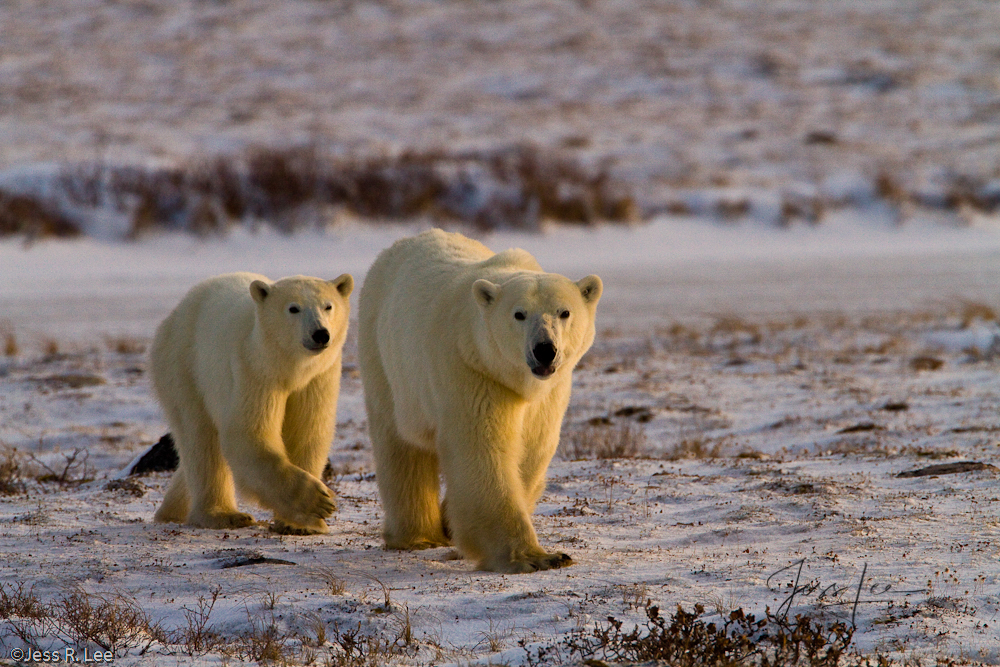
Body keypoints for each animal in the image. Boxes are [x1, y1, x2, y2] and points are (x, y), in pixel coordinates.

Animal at [148, 268, 352, 536]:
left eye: (328, 306)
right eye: (293, 308)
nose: (320, 334)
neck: (289, 367)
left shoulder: (319, 377)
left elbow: (308, 433)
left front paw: (302, 524)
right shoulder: (255, 369)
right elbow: (249, 433)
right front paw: (318, 502)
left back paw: (172, 510)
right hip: (184, 366)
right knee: (201, 439)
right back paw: (222, 515)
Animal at [360, 231, 600, 576]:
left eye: (564, 312)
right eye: (519, 314)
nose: (544, 350)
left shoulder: (550, 391)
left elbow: (533, 448)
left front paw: (452, 520)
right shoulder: (470, 368)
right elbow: (482, 450)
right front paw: (532, 557)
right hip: (386, 359)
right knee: (400, 444)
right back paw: (416, 535)